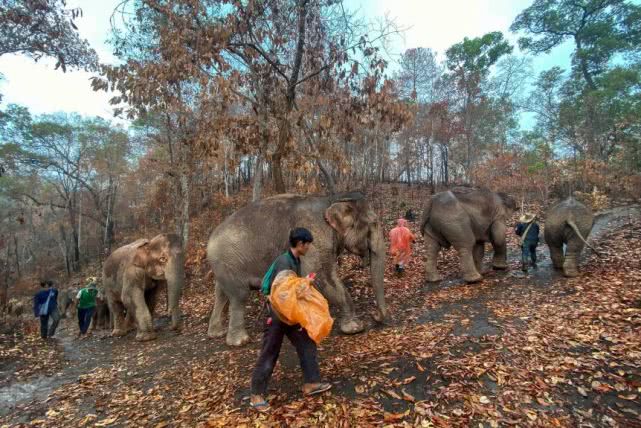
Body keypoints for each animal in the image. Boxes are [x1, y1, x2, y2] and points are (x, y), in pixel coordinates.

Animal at [206, 192, 384, 346]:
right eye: (374, 223)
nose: (375, 315)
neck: (332, 199)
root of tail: (208, 242)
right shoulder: (315, 238)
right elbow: (322, 277)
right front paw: (355, 328)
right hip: (230, 262)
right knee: (239, 296)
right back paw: (240, 341)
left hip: (223, 266)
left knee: (221, 293)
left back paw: (216, 333)